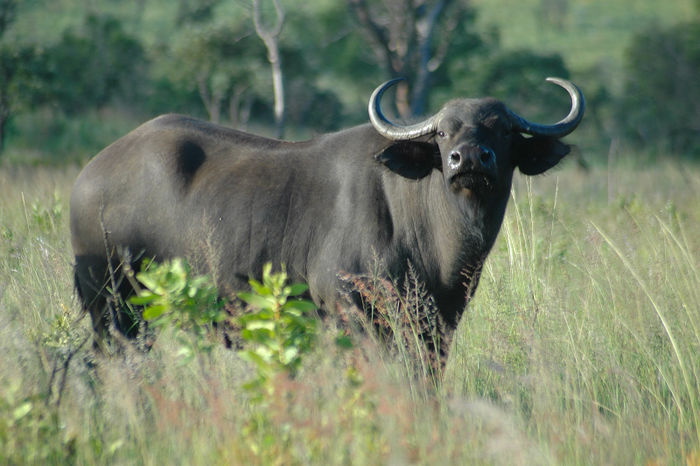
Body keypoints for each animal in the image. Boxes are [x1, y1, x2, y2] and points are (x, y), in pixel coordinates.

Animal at [70, 77, 584, 358]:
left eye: (502, 130)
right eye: (442, 132)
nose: (469, 159)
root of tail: (89, 176)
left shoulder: (438, 328)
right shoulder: (349, 315)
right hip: (109, 307)